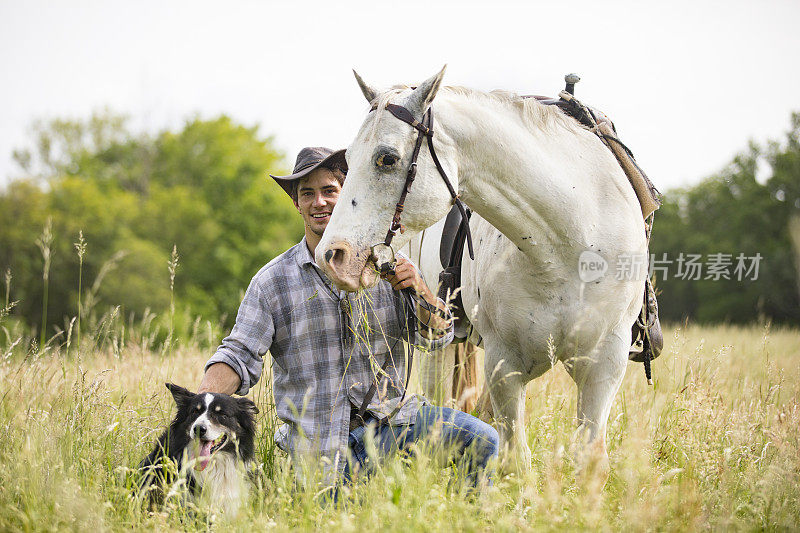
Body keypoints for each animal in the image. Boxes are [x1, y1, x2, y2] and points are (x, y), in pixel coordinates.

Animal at [316, 66, 648, 470]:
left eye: (387, 159)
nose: (332, 256)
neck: (571, 242)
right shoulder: (504, 365)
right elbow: (516, 459)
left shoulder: (604, 365)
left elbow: (589, 457)